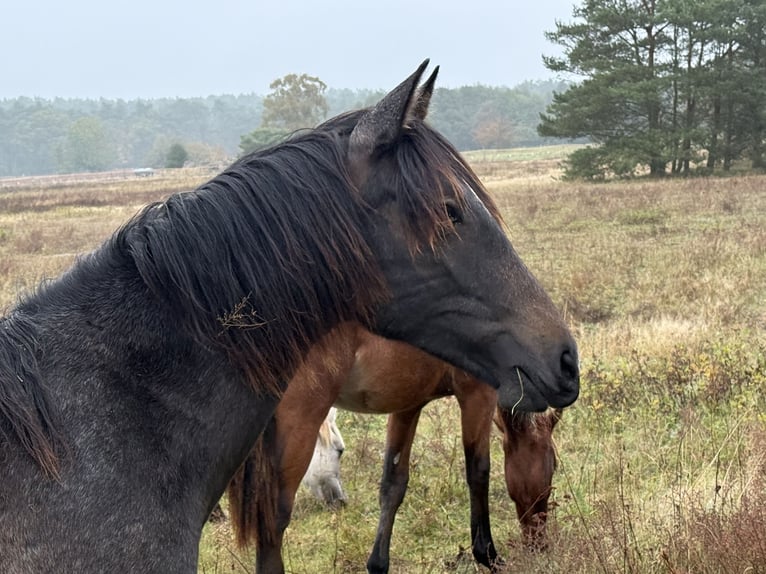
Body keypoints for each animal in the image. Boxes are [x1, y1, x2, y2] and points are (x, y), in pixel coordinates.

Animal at [227, 323, 563, 573]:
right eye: (554, 465)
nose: (540, 545)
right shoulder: (476, 395)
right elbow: (478, 473)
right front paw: (488, 555)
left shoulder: (408, 406)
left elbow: (393, 485)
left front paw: (378, 564)